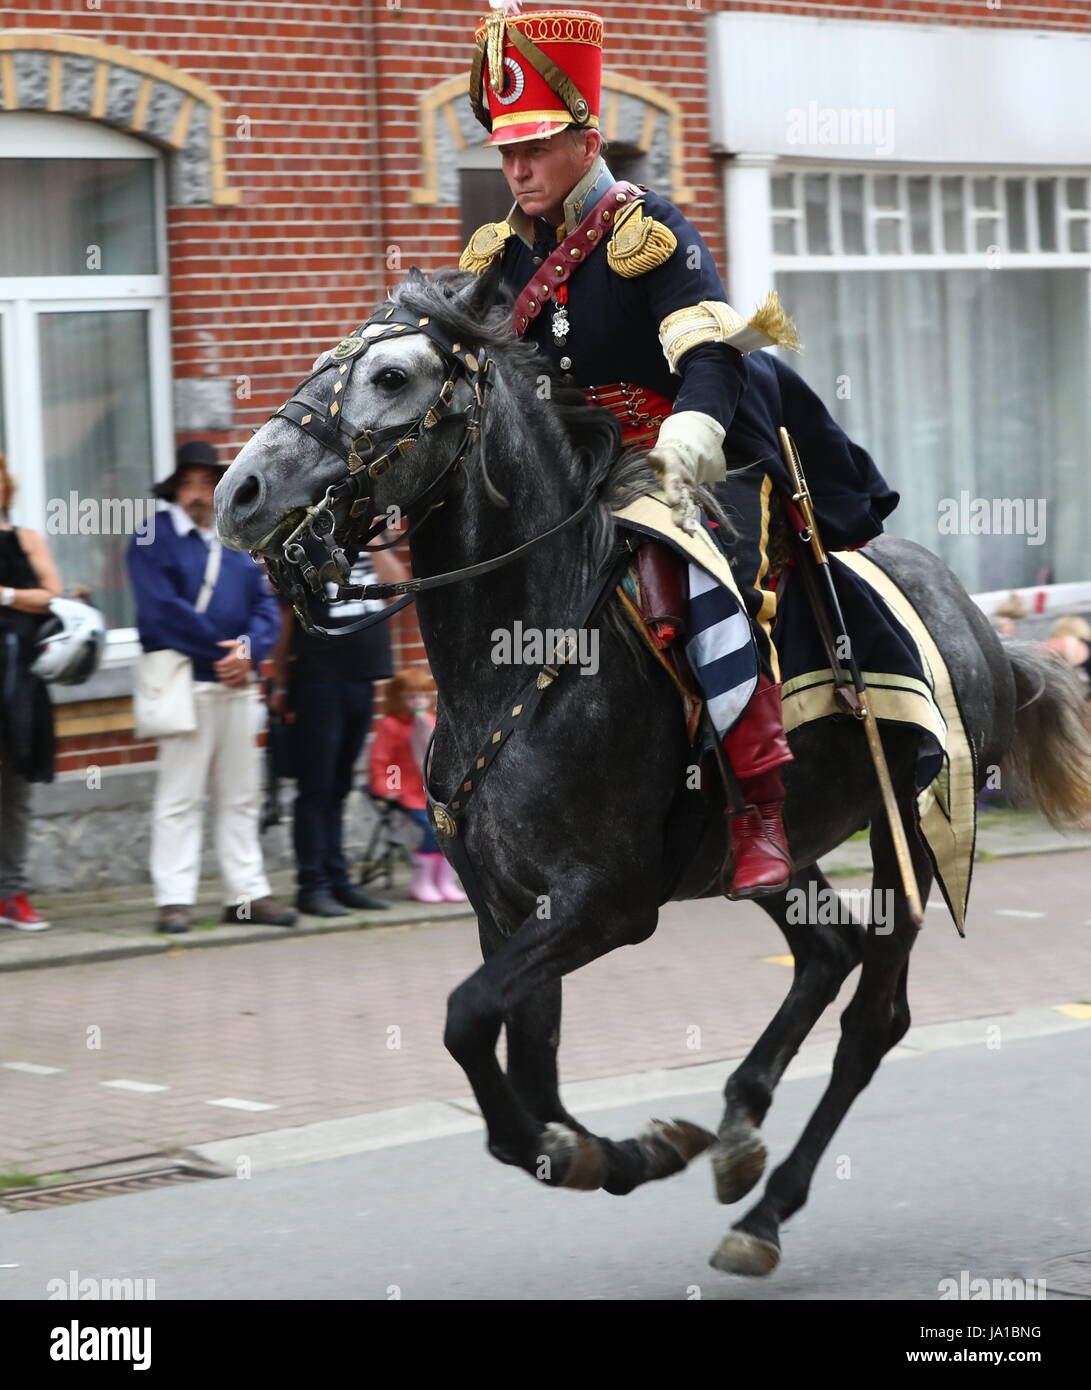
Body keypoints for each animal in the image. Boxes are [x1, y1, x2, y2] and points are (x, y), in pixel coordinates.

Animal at [212, 271, 1089, 1278]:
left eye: (392, 376)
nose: (239, 492)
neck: (526, 658)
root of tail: (981, 625)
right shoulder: (507, 911)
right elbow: (527, 1073)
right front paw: (619, 1151)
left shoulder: (605, 903)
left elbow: (468, 1022)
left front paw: (605, 1151)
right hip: (772, 853)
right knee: (826, 955)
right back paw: (737, 1126)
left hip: (907, 829)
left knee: (874, 1017)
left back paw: (764, 1212)